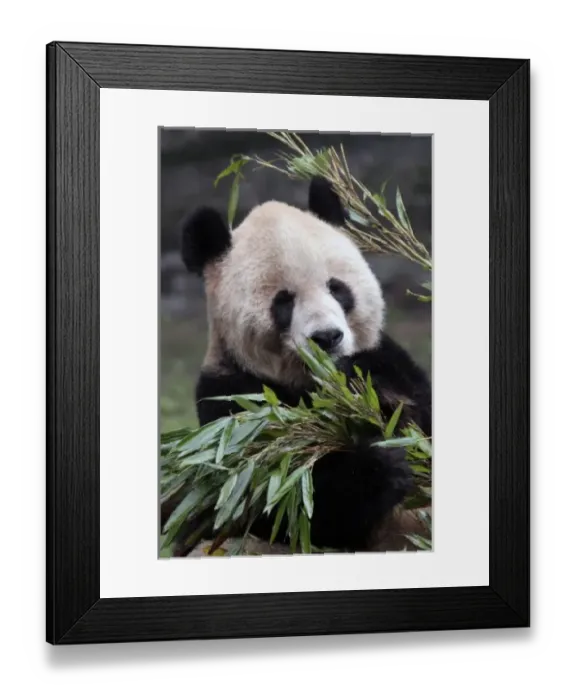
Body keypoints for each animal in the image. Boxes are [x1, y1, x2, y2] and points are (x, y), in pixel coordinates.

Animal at [177, 176, 432, 554]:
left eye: (337, 288)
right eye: (283, 302)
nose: (327, 338)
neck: (314, 382)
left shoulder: (392, 356)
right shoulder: (231, 403)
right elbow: (278, 504)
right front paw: (381, 466)